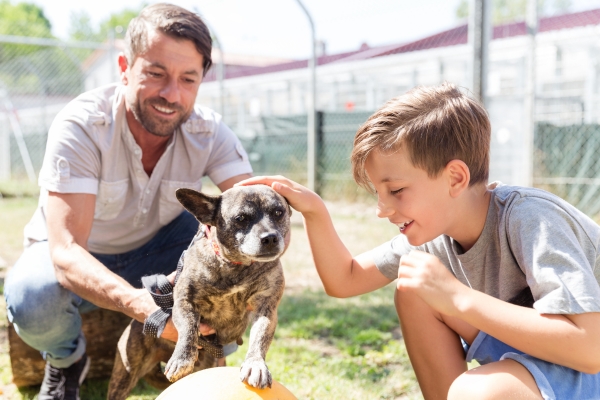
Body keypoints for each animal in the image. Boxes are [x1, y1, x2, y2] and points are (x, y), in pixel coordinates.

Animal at [107, 186, 290, 398]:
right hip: (126, 373)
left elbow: (260, 338)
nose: (270, 237)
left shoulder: (266, 309)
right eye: (240, 218)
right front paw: (182, 358)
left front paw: (256, 365)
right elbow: (189, 327)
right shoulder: (185, 302)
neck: (235, 266)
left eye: (278, 212)